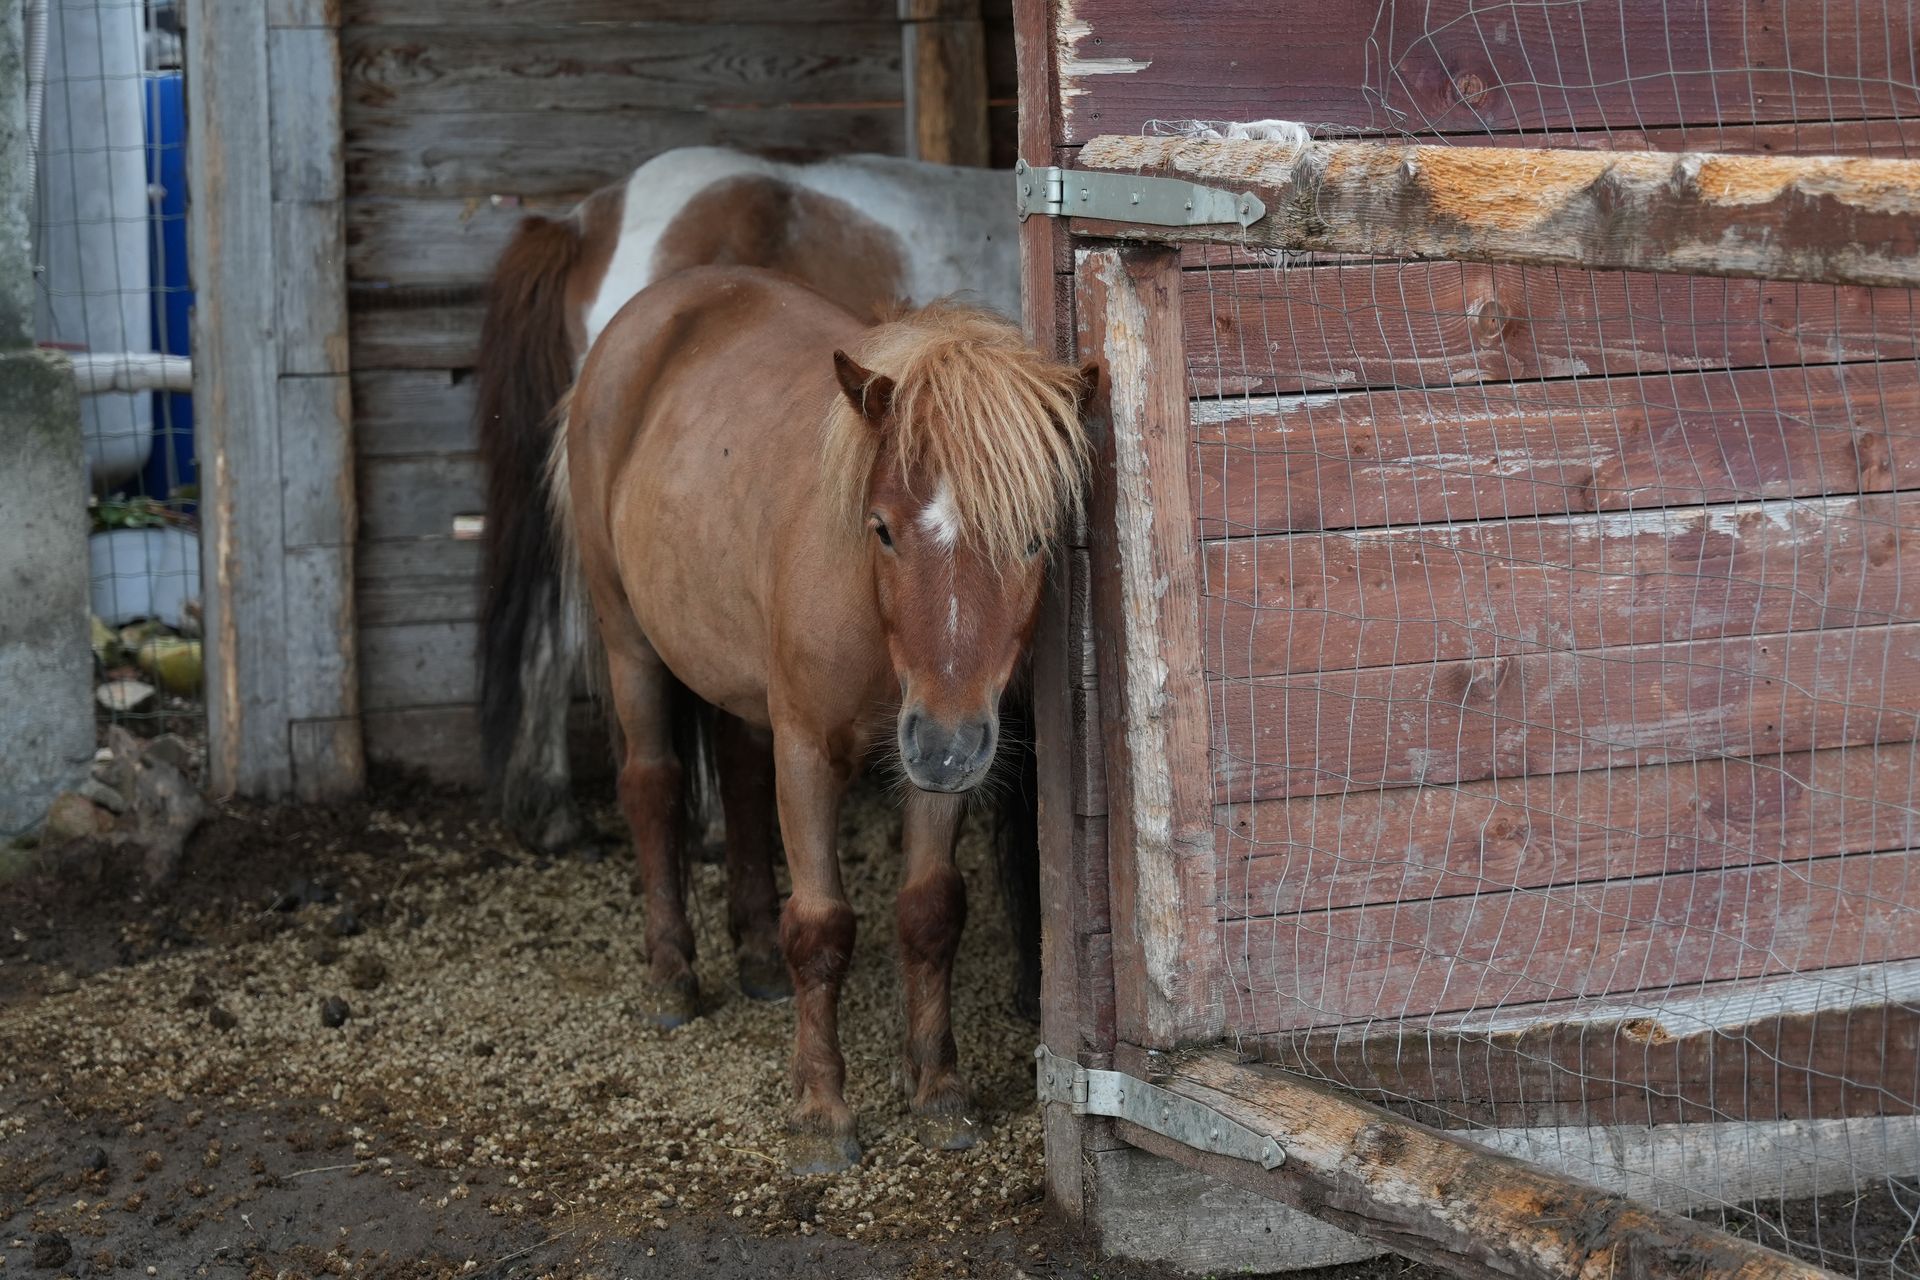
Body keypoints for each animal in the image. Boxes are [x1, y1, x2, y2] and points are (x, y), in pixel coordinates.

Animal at [550, 266, 1094, 1173]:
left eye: (1033, 539)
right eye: (882, 529)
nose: (948, 745)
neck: (873, 619)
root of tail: (661, 303)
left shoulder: (934, 759)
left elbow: (930, 912)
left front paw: (938, 1090)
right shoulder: (809, 750)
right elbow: (821, 925)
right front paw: (821, 1111)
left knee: (737, 776)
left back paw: (756, 957)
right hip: (628, 639)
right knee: (652, 786)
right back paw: (672, 975)